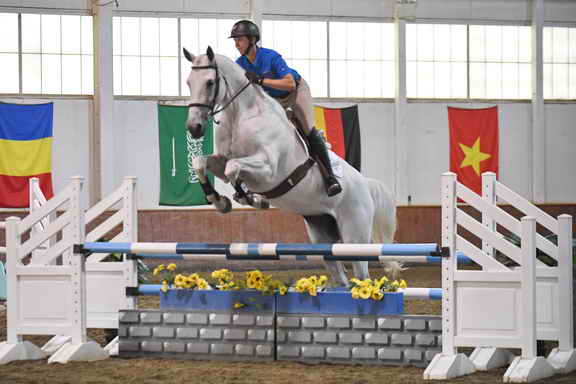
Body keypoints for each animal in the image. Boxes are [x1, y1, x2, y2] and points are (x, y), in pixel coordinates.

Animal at [182, 46, 398, 284]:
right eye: (189, 82)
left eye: (210, 82)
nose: (194, 127)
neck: (240, 115)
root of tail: (365, 184)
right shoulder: (221, 160)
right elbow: (202, 163)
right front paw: (220, 201)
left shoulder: (268, 170)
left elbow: (233, 168)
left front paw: (251, 199)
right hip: (322, 233)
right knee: (340, 276)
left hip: (354, 236)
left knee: (362, 275)